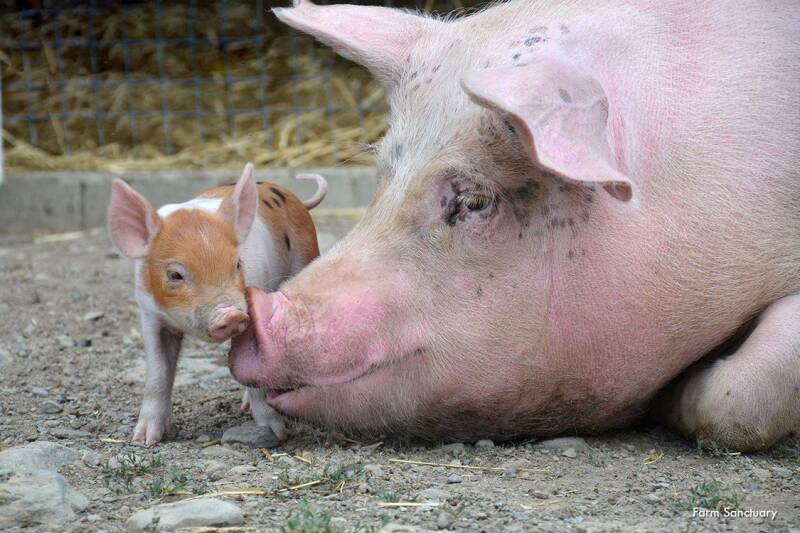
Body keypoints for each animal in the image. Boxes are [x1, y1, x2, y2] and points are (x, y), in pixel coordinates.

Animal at [107, 163, 327, 444]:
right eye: (175, 275)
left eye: (238, 264)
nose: (230, 315)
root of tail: (293, 196)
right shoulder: (151, 317)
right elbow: (157, 375)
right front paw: (145, 439)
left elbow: (253, 372)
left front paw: (275, 432)